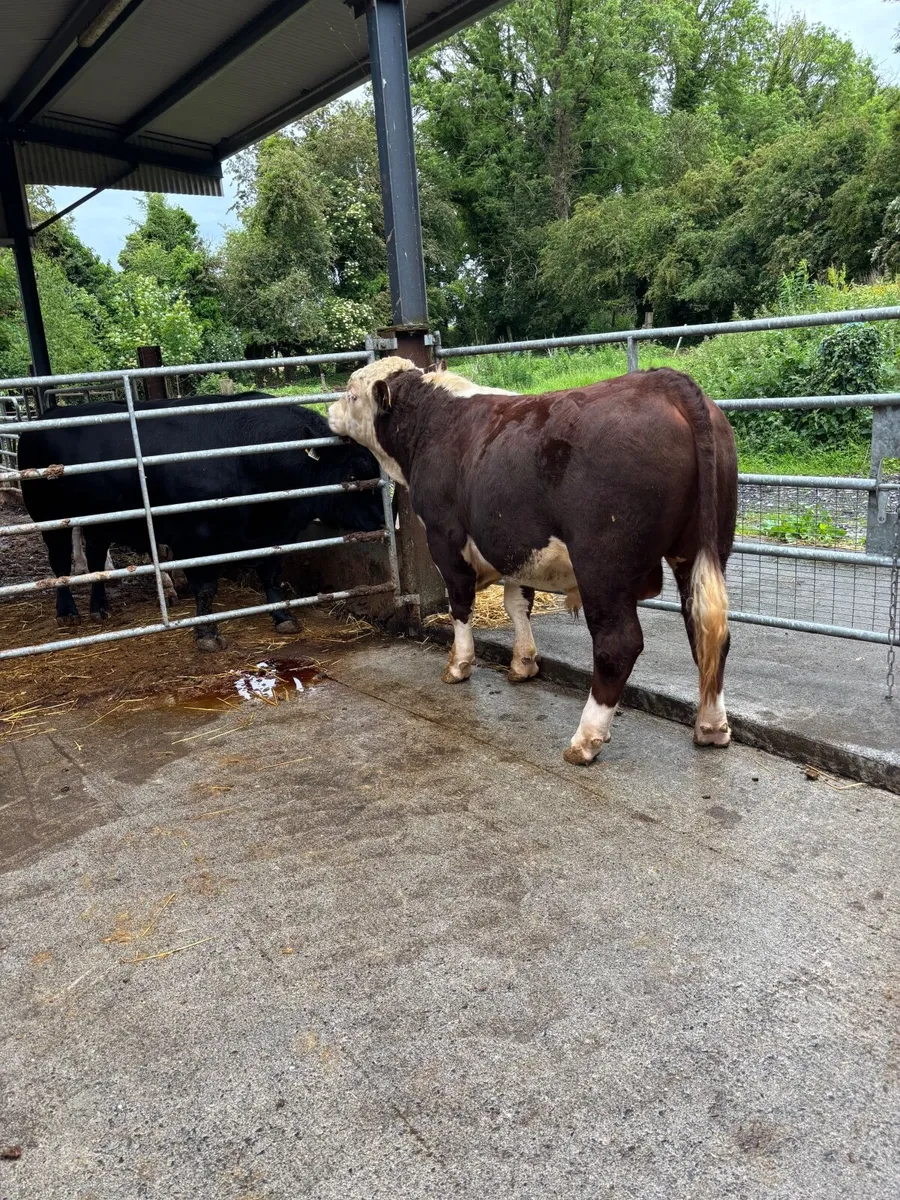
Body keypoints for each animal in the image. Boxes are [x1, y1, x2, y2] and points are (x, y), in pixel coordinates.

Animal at [18, 393, 385, 650]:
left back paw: (100, 606)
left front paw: (283, 616)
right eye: (354, 474)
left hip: (100, 520)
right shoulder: (195, 540)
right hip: (48, 516)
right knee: (60, 562)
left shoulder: (272, 535)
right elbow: (206, 588)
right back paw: (67, 612)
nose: (385, 519)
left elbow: (271, 575)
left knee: (95, 557)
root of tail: (48, 414)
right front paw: (206, 632)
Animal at [329, 357, 738, 764]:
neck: (433, 422)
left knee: (618, 643)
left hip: (603, 564)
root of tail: (666, 382)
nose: (329, 411)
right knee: (706, 630)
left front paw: (459, 664)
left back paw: (585, 739)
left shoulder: (445, 538)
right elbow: (517, 603)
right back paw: (711, 727)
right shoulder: (515, 544)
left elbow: (460, 604)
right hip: (702, 551)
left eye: (351, 394)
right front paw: (523, 662)